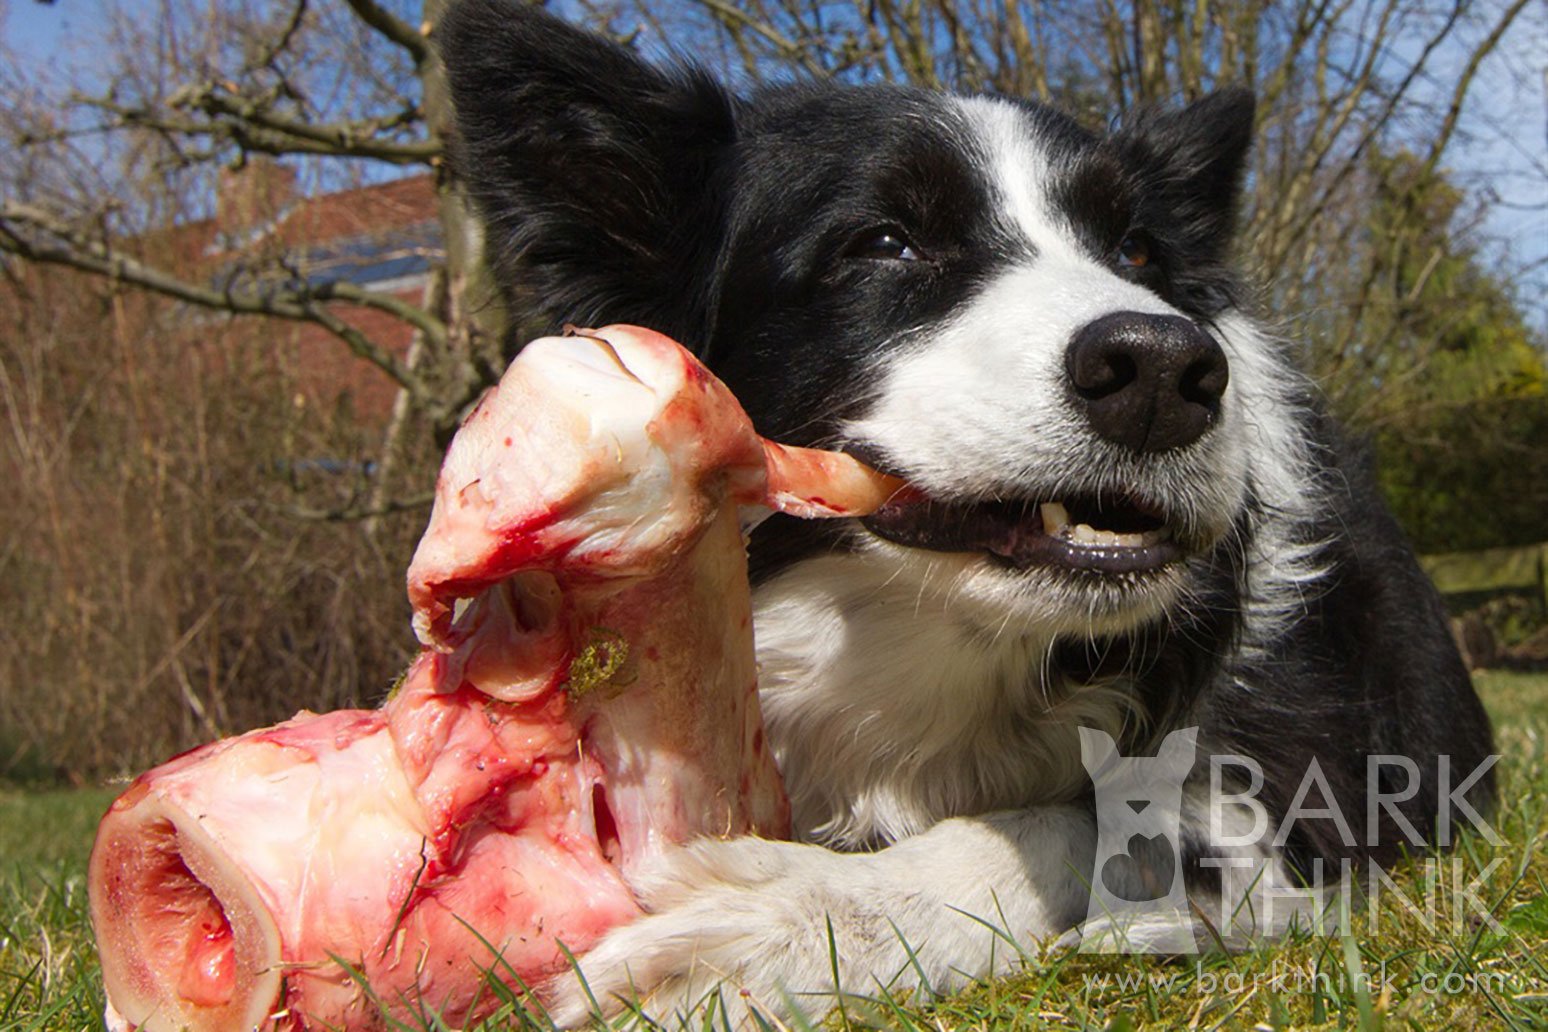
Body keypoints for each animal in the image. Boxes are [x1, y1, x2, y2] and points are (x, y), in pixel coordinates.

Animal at [442, 4, 1492, 1027]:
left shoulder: (1299, 780)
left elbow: (1096, 820)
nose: (1165, 371)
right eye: (883, 243)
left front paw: (785, 919)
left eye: (1137, 249)